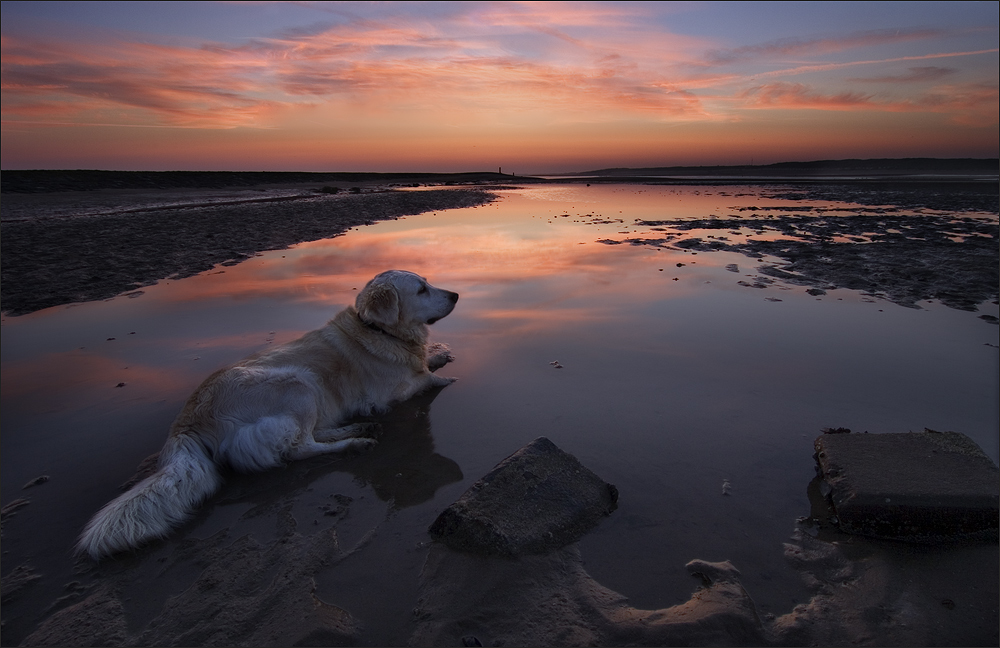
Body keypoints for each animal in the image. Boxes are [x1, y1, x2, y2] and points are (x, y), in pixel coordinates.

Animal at [79, 270, 460, 560]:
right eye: (421, 289)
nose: (456, 294)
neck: (379, 330)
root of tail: (186, 420)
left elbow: (425, 361)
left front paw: (439, 353)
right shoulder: (387, 393)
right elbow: (423, 377)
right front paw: (443, 376)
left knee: (306, 437)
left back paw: (359, 429)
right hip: (298, 383)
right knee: (298, 447)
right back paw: (356, 441)